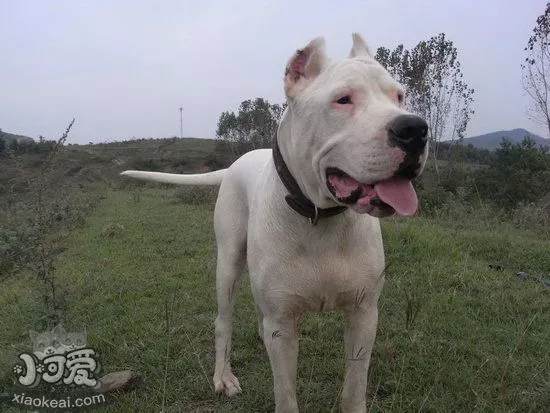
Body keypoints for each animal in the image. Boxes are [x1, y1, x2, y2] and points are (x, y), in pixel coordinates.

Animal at [122, 33, 432, 410]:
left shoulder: (363, 313)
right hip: (228, 263)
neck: (321, 217)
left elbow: (355, 388)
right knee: (223, 321)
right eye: (343, 99)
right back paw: (223, 376)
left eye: (398, 96)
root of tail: (236, 162)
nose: (414, 128)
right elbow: (285, 394)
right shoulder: (283, 325)